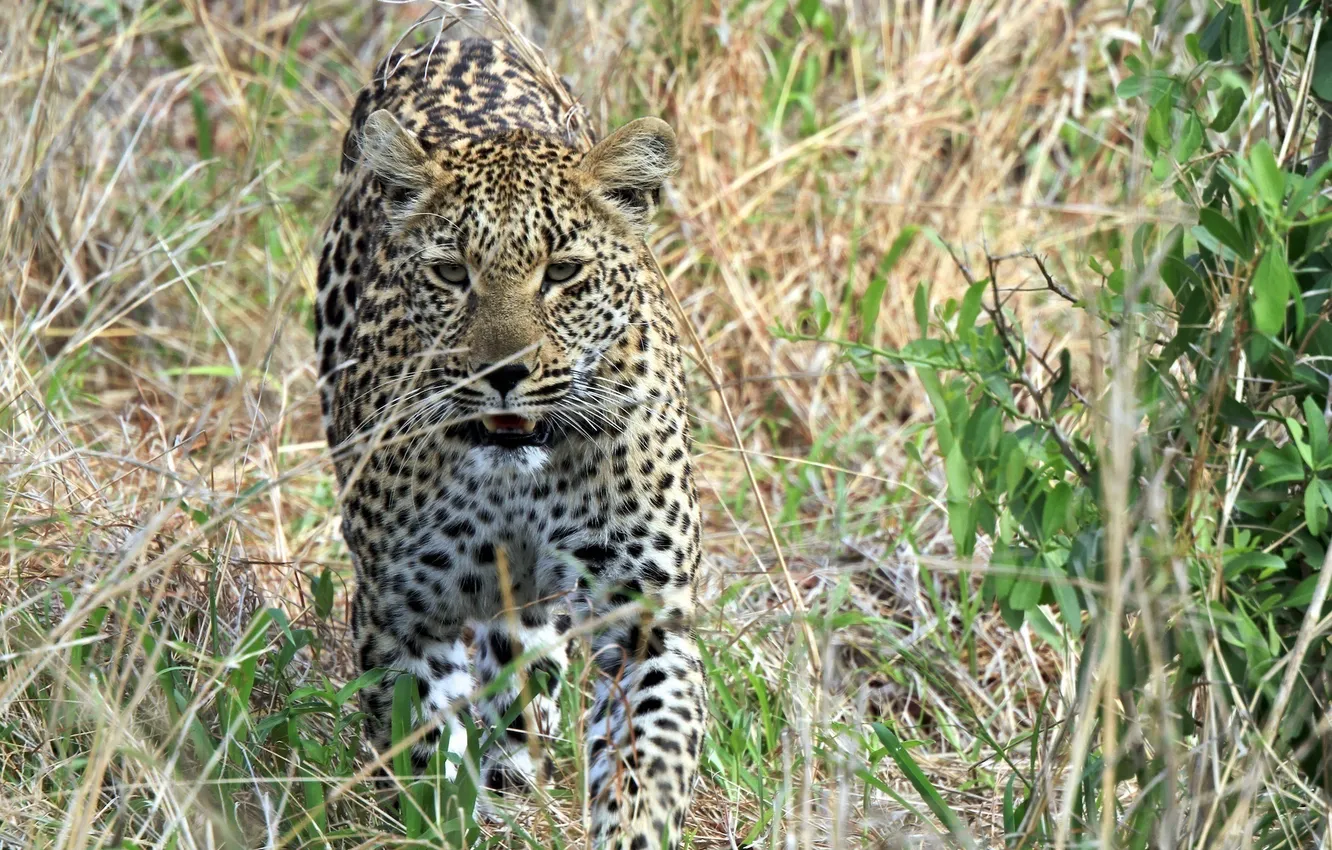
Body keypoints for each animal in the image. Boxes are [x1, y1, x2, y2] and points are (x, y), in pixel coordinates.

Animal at [314, 36, 706, 850]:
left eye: (563, 272)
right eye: (450, 272)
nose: (502, 373)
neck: (520, 481)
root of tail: (466, 29)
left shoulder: (648, 620)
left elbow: (646, 760)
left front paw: (630, 828)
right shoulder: (400, 617)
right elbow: (425, 748)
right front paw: (448, 820)